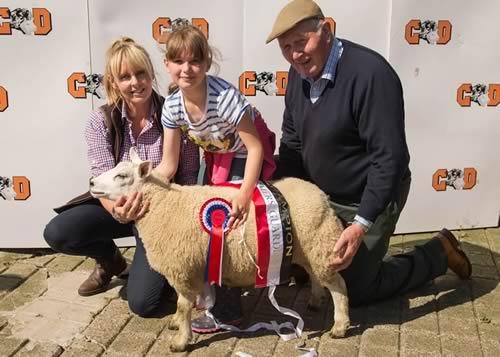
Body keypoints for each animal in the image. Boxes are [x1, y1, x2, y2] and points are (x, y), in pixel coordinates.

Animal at [89, 147, 348, 350]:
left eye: (122, 175)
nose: (91, 182)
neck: (163, 205)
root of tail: (321, 195)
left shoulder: (182, 268)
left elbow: (183, 305)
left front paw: (180, 341)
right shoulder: (187, 268)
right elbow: (182, 305)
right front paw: (176, 323)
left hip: (321, 243)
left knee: (338, 285)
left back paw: (340, 326)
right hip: (311, 248)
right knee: (315, 274)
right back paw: (315, 300)